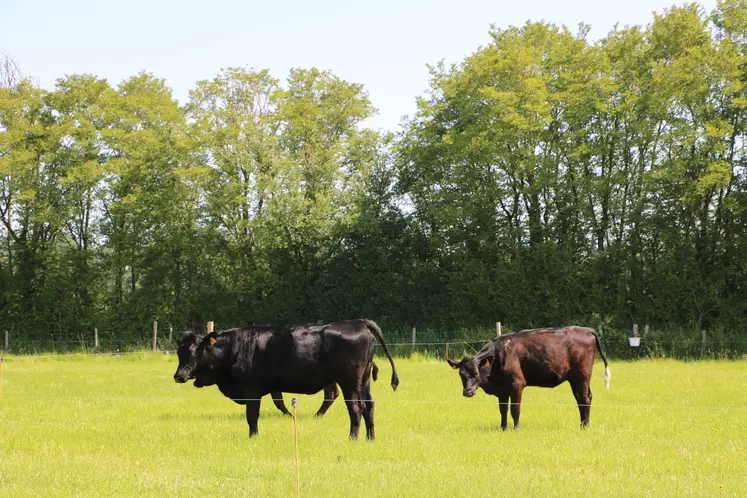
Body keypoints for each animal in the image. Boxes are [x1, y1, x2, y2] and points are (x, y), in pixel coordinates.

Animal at [175, 320, 400, 440]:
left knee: (355, 408)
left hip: (349, 382)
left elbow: (252, 415)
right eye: (179, 352)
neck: (235, 347)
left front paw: (253, 437)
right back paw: (370, 438)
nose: (178, 376)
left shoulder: (251, 389)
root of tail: (359, 322)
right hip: (364, 381)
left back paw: (352, 438)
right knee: (369, 406)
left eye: (194, 351)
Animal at [448, 326, 612, 428]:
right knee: (582, 399)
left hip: (582, 376)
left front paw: (516, 429)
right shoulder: (502, 390)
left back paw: (585, 426)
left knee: (585, 399)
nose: (467, 392)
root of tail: (586, 329)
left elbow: (515, 409)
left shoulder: (517, 384)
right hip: (575, 379)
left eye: (476, 373)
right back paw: (582, 424)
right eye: (461, 374)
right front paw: (503, 427)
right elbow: (503, 409)